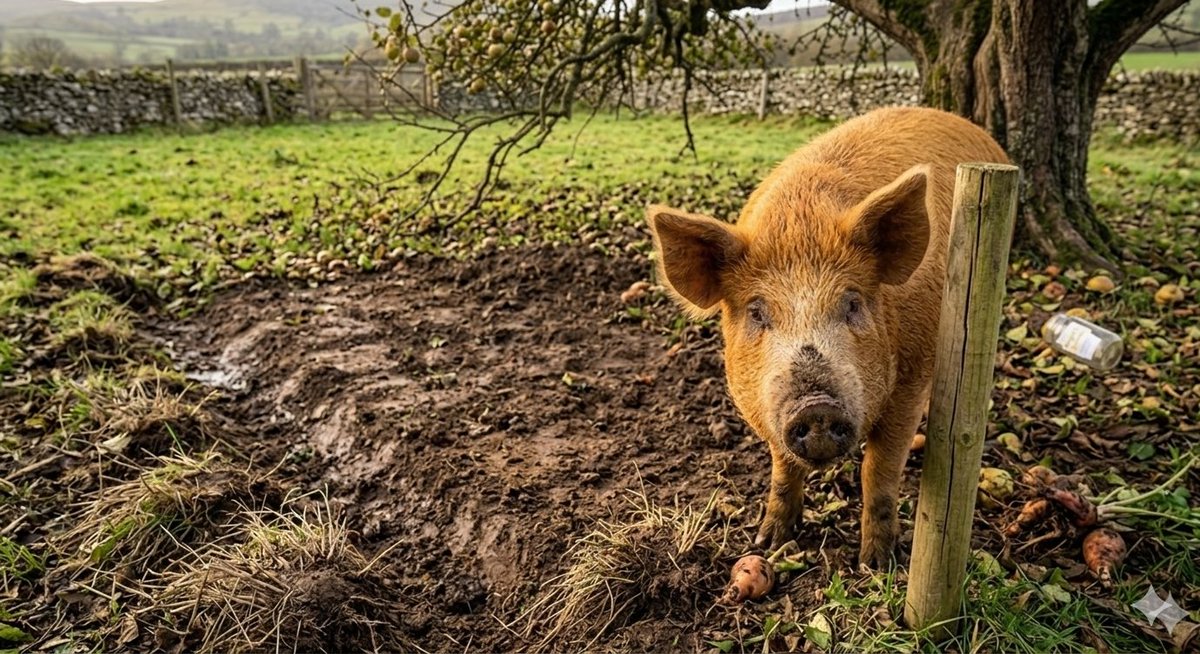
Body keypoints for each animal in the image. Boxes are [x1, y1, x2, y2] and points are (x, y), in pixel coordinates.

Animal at [646, 106, 1010, 567]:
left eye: (852, 302)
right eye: (756, 311)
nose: (816, 406)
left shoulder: (911, 378)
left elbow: (879, 468)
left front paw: (876, 565)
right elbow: (783, 466)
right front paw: (769, 542)